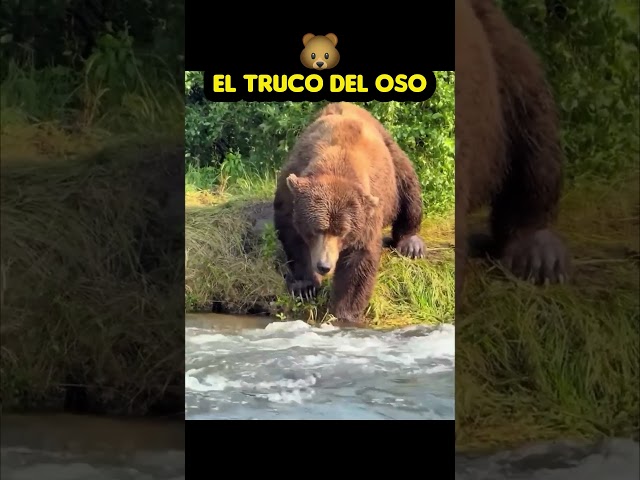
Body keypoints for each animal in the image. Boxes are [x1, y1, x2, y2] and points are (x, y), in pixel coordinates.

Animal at [273, 102, 426, 324]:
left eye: (342, 232)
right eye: (317, 229)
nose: (324, 266)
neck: (336, 161)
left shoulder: (367, 211)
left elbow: (358, 261)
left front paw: (344, 314)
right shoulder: (291, 189)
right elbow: (292, 236)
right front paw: (305, 287)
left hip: (392, 160)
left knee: (408, 181)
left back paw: (411, 244)